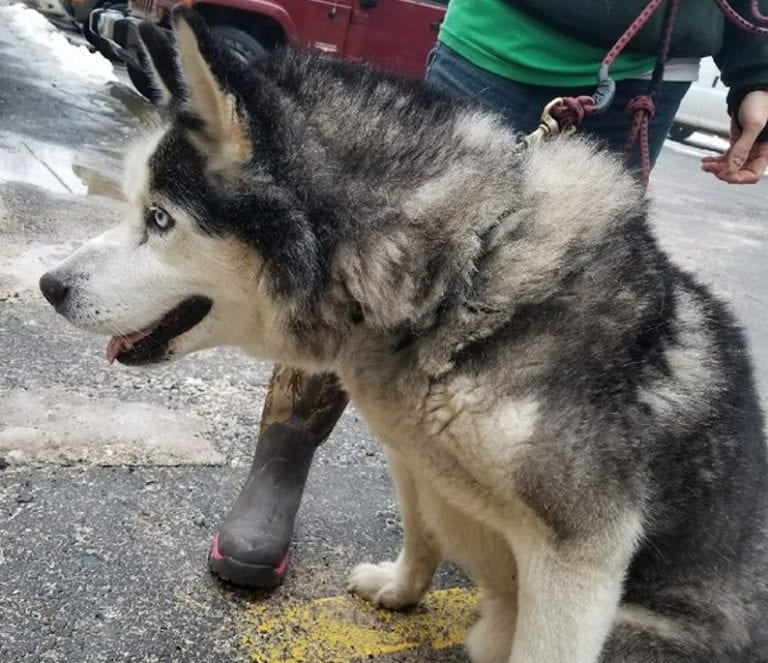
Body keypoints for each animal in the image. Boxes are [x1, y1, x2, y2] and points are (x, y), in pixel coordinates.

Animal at [40, 9, 768, 663]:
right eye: (138, 206)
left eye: (160, 219)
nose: (49, 285)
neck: (462, 277)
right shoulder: (411, 453)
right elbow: (422, 530)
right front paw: (401, 587)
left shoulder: (582, 553)